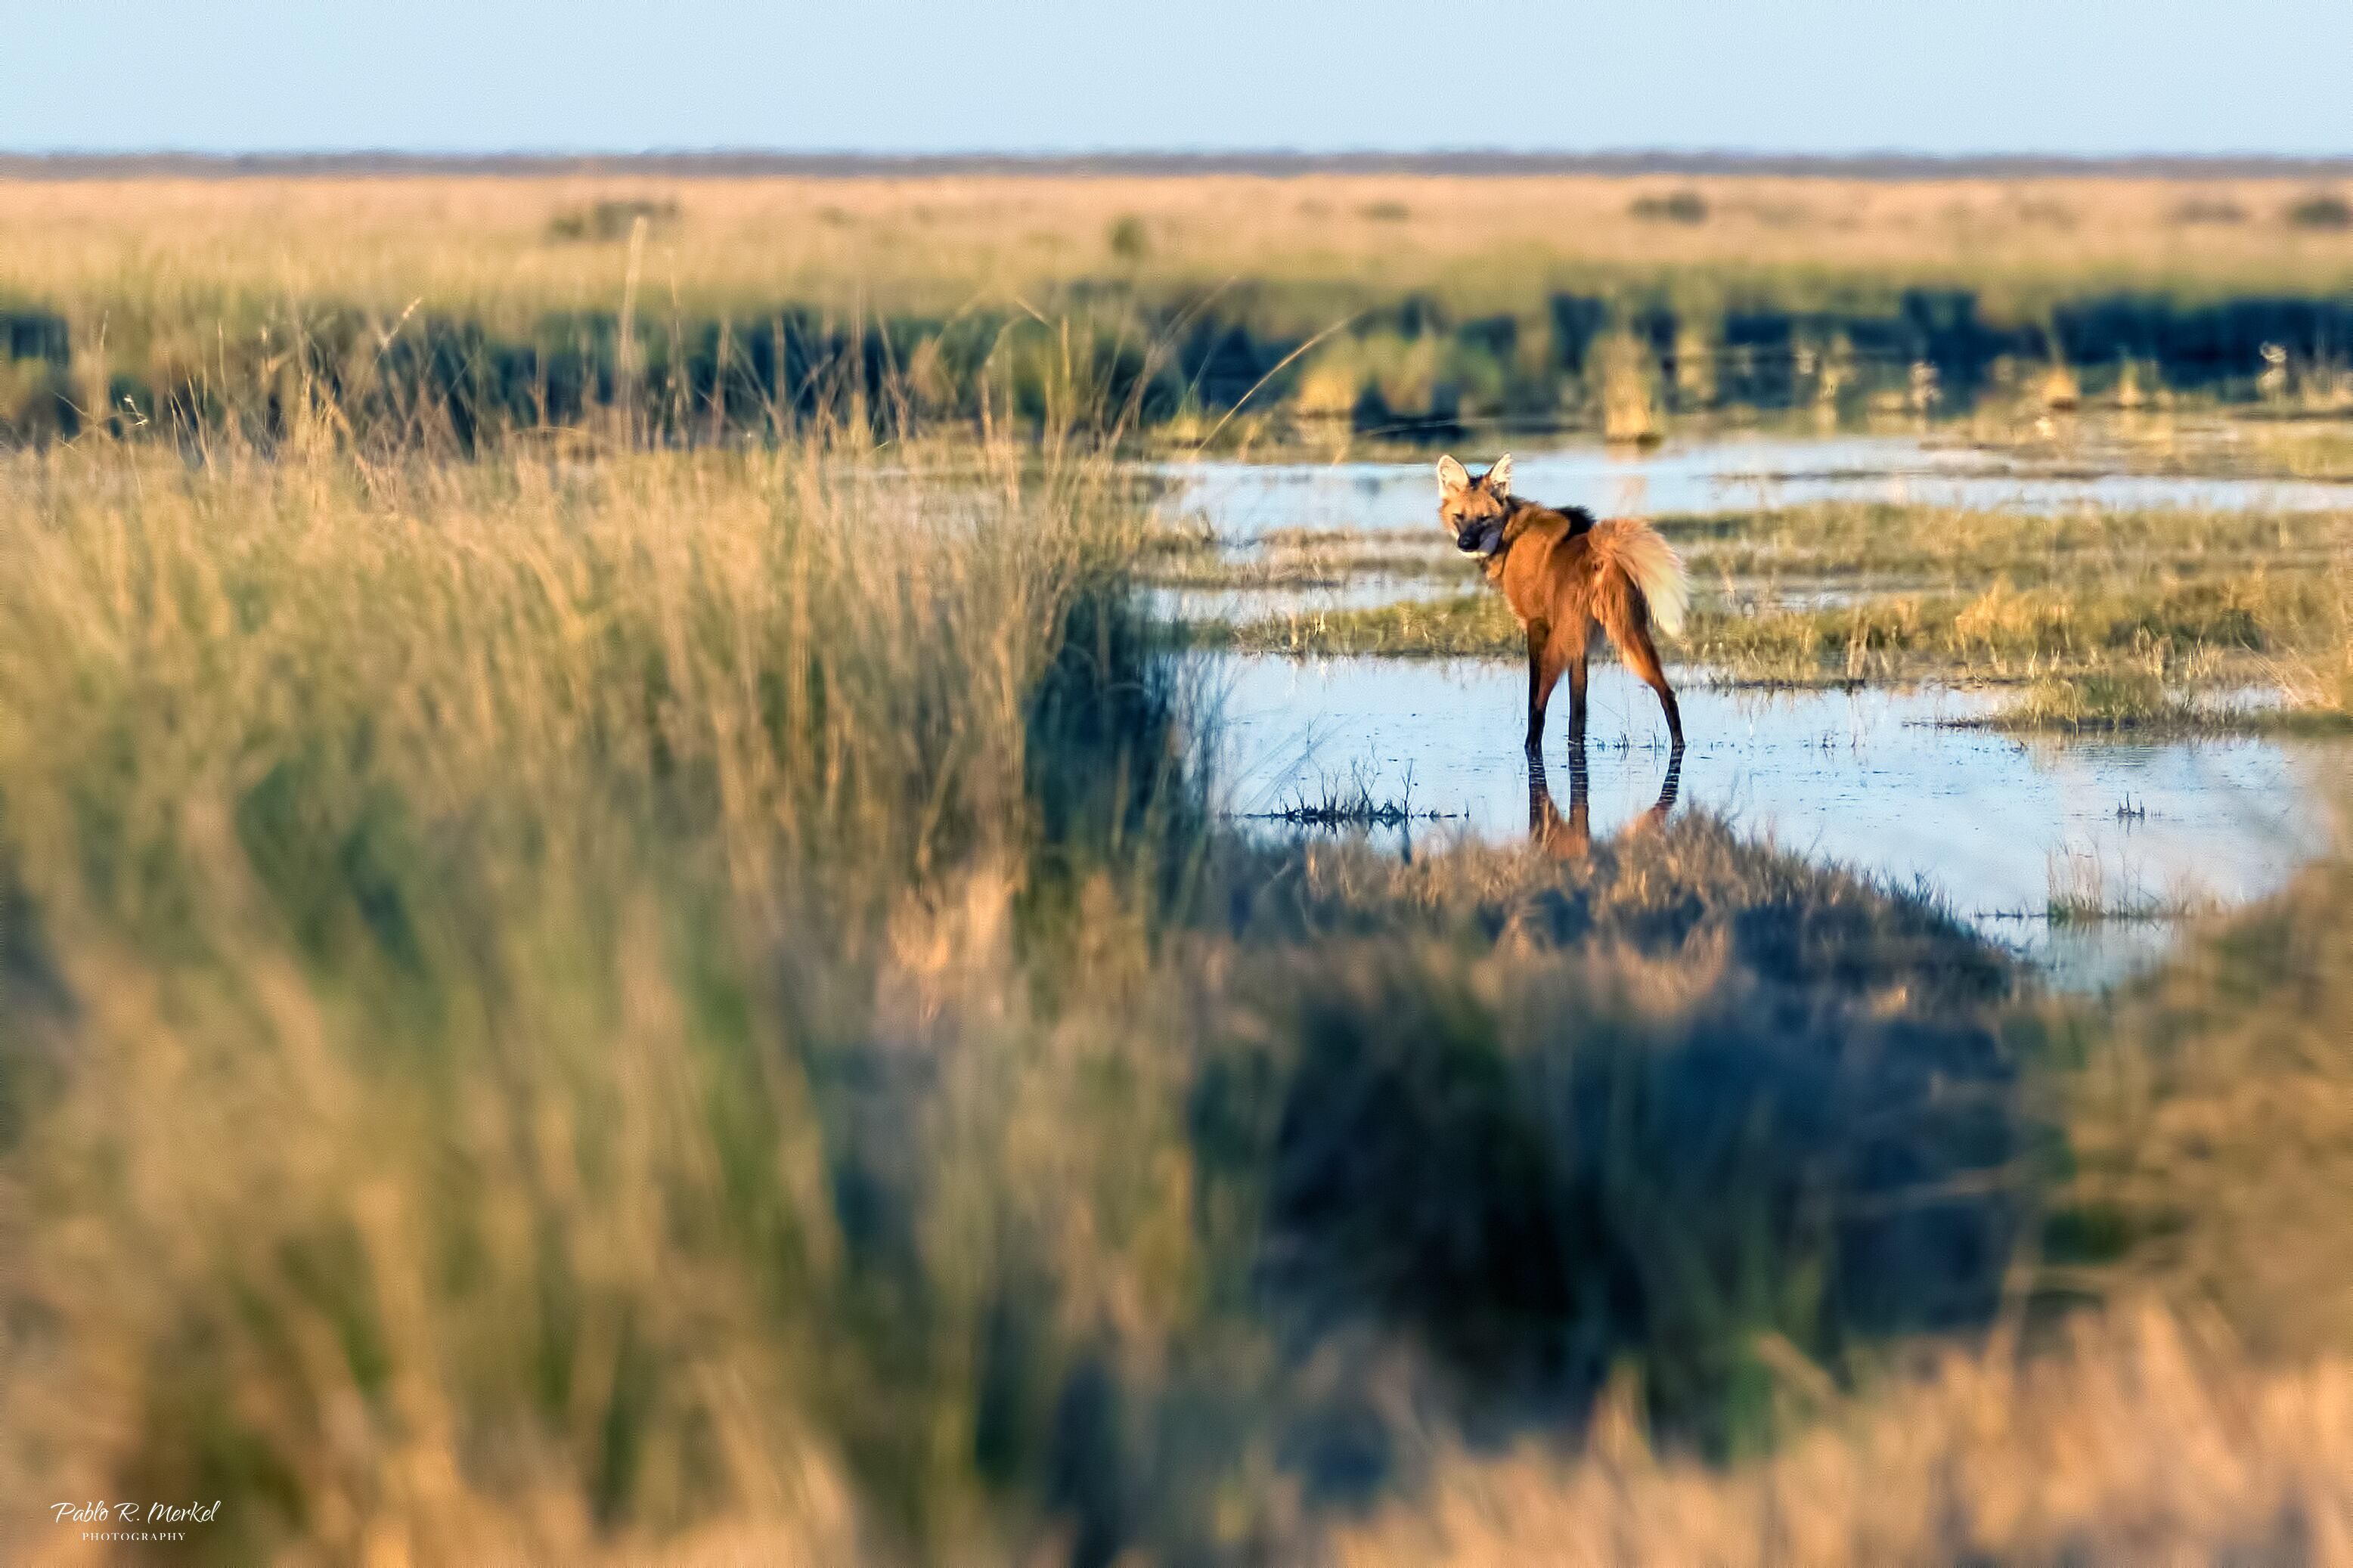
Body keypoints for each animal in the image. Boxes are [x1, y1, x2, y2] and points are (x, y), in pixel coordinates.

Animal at [1431, 451, 1694, 753]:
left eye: (1484, 518)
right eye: (1459, 517)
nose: (1465, 543)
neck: (1510, 537)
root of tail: (1600, 547)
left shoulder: (1536, 624)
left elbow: (1535, 700)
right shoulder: (1579, 644)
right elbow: (1578, 710)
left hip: (1567, 641)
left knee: (1540, 704)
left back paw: (1530, 746)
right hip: (1624, 633)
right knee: (1667, 693)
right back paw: (1678, 744)